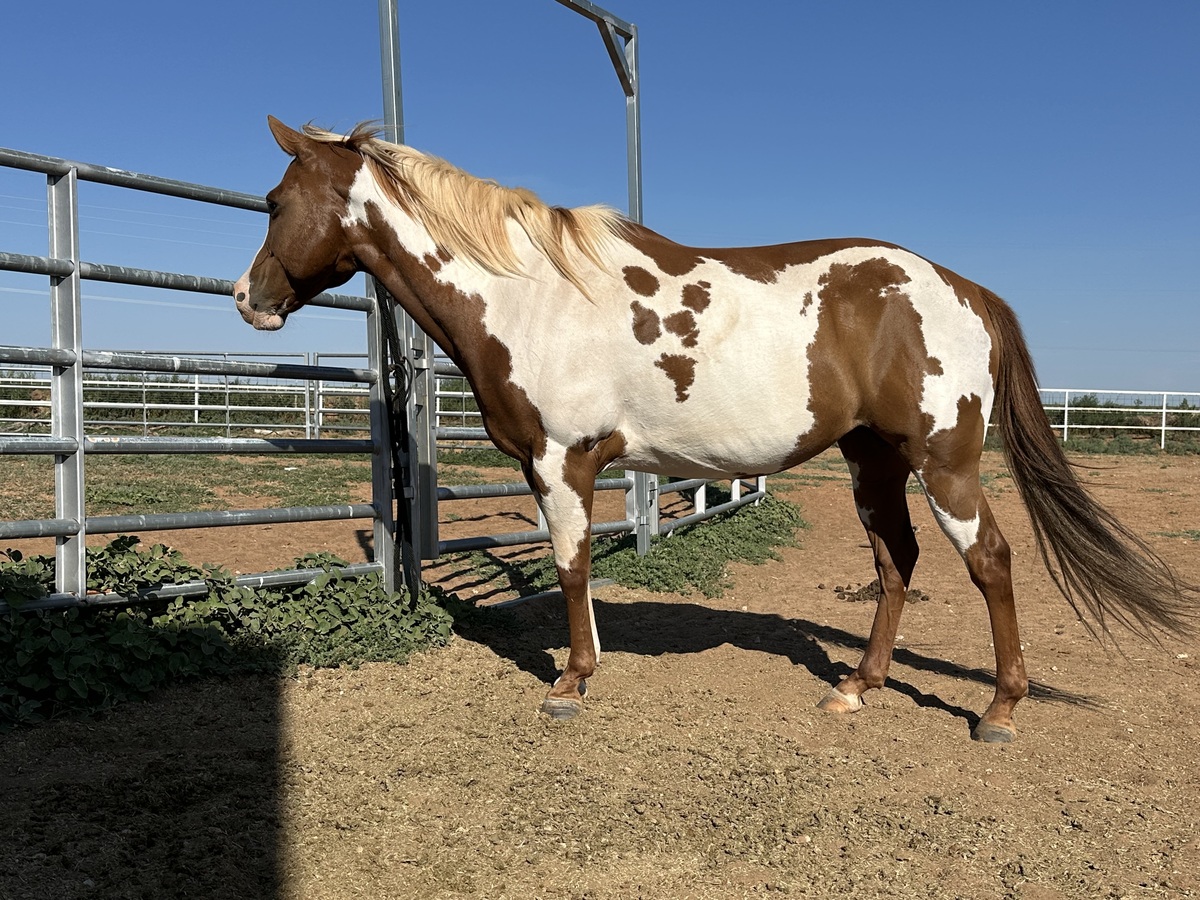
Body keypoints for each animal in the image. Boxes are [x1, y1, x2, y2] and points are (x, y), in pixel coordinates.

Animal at [234, 116, 1195, 742]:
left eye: (275, 201)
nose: (249, 299)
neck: (530, 296)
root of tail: (963, 287)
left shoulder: (563, 462)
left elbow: (572, 568)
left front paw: (572, 682)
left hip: (943, 460)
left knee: (988, 560)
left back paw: (998, 710)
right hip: (873, 462)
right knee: (897, 563)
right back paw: (858, 687)